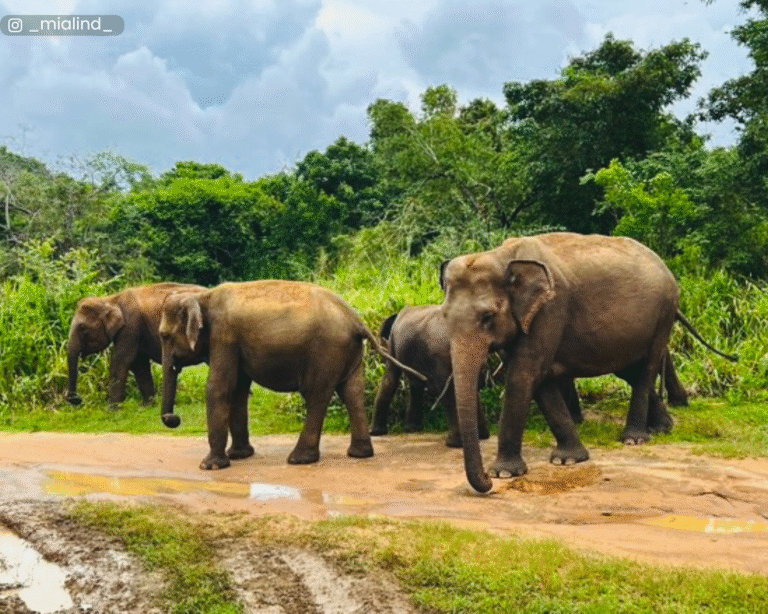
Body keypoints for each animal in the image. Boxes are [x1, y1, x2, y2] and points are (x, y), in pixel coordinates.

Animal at [66, 282, 206, 406]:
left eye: (83, 329)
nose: (78, 400)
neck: (111, 299)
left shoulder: (131, 326)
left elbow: (122, 361)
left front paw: (111, 409)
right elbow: (139, 363)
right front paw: (148, 405)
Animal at [157, 280, 426, 470]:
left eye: (164, 336)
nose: (173, 418)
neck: (201, 296)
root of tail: (356, 320)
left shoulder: (224, 336)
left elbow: (219, 387)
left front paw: (210, 466)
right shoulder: (232, 342)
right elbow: (239, 390)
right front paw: (240, 456)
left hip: (326, 351)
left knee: (317, 396)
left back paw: (299, 459)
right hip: (349, 351)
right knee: (352, 392)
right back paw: (359, 454)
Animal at [370, 304, 491, 448]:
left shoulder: (393, 344)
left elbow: (390, 379)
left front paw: (375, 433)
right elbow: (414, 385)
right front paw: (412, 429)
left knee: (448, 389)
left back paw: (454, 443)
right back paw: (482, 436)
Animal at [439, 232, 737, 493]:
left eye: (488, 317)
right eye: (444, 316)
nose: (487, 481)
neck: (502, 256)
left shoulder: (550, 309)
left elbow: (524, 374)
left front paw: (504, 473)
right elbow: (540, 380)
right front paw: (568, 459)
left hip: (664, 313)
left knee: (647, 369)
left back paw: (634, 439)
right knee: (630, 370)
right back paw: (663, 428)